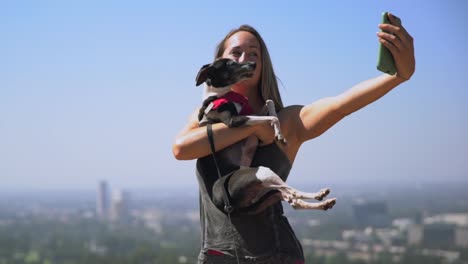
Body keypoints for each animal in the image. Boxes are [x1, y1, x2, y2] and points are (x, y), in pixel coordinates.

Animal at [195, 58, 336, 214]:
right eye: (230, 64)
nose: (253, 64)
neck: (220, 95)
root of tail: (227, 204)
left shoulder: (251, 112)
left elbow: (269, 102)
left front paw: (278, 128)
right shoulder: (233, 121)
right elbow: (272, 118)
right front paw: (279, 134)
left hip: (266, 189)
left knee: (293, 200)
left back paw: (323, 202)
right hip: (261, 172)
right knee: (292, 192)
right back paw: (319, 195)